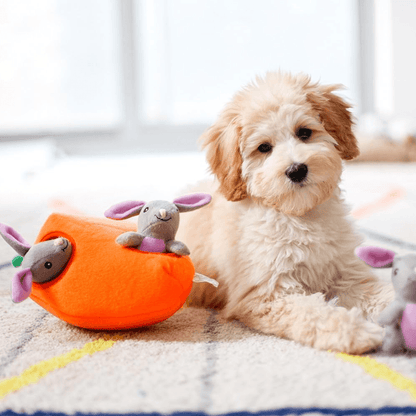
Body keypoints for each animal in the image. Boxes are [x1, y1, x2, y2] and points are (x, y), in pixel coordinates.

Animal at [178, 71, 394, 354]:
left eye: (304, 132)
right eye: (263, 148)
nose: (296, 170)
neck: (299, 215)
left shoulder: (346, 275)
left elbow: (379, 293)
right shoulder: (267, 294)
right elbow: (313, 313)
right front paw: (356, 331)